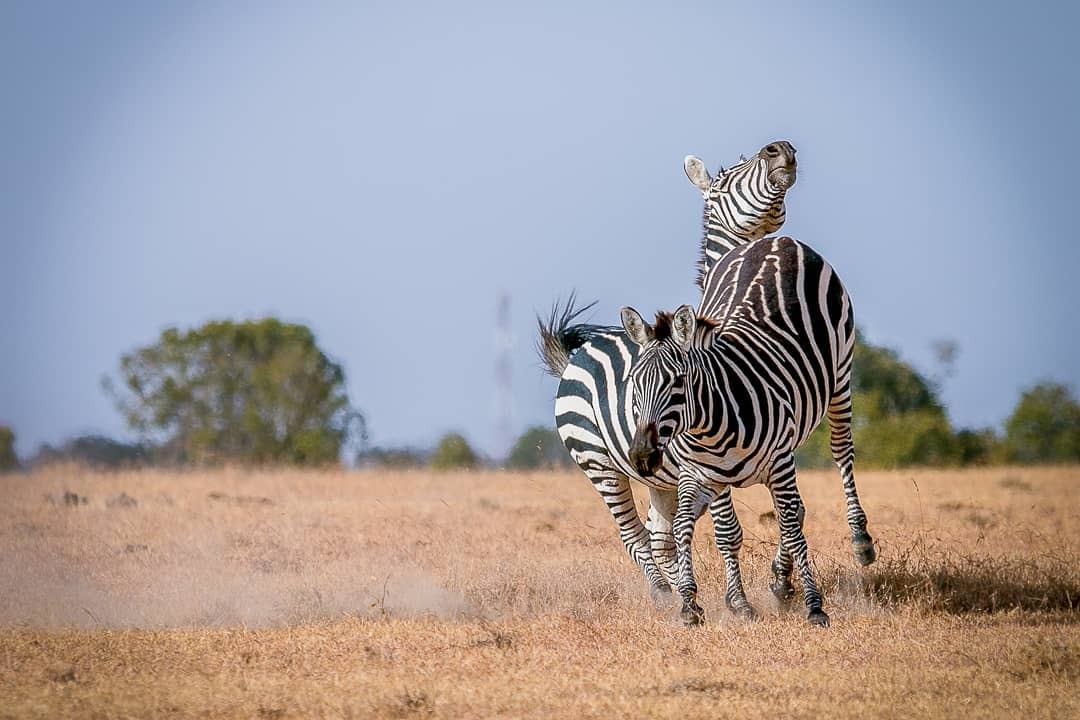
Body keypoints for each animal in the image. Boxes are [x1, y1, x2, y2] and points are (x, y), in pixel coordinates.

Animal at [537, 141, 800, 601]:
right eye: (726, 179)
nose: (779, 150)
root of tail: (577, 353)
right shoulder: (707, 458)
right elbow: (728, 530)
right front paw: (738, 599)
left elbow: (793, 512)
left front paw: (780, 583)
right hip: (598, 463)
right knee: (634, 537)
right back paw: (663, 594)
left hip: (658, 477)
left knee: (660, 537)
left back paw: (679, 589)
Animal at [619, 235, 874, 627]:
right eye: (635, 381)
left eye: (678, 381)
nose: (643, 455)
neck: (710, 428)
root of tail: (778, 240)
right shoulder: (700, 476)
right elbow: (692, 528)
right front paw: (692, 603)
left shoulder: (779, 464)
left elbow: (792, 530)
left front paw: (815, 606)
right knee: (795, 509)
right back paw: (781, 581)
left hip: (841, 376)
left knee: (841, 452)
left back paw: (860, 539)